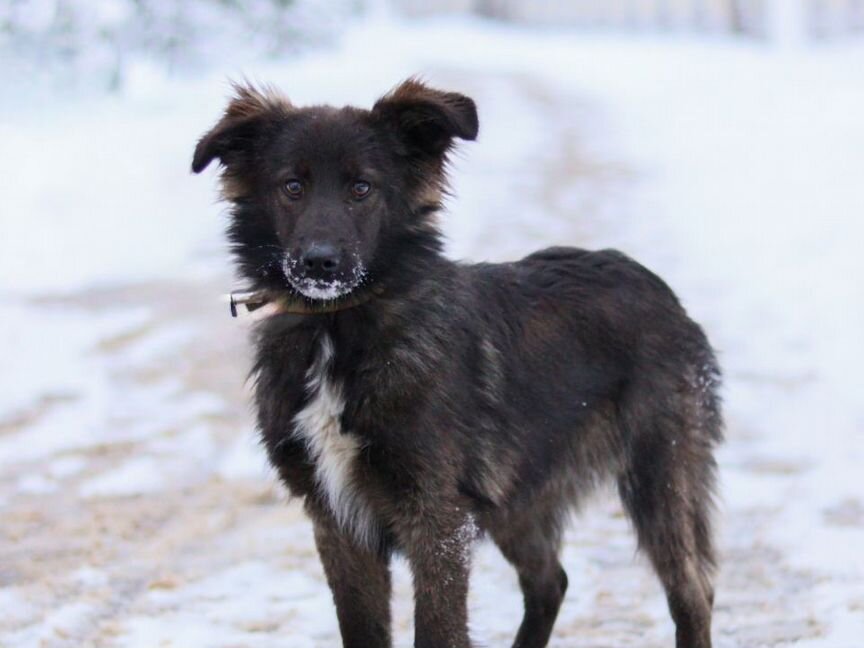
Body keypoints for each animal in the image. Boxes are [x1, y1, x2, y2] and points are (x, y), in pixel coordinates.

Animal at [194, 79, 724, 648]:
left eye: (362, 188)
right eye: (292, 186)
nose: (319, 264)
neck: (337, 329)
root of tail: (658, 289)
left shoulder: (437, 517)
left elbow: (438, 629)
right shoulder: (338, 520)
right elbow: (361, 629)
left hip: (658, 474)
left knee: (692, 592)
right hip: (516, 496)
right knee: (550, 582)